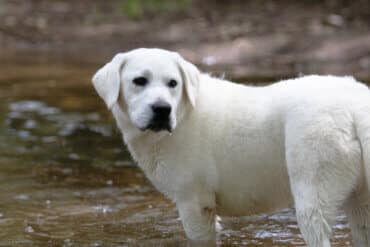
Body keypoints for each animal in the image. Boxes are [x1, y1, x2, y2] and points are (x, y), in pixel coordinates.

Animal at [92, 48, 370, 247]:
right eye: (139, 81)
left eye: (173, 83)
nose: (162, 109)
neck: (184, 113)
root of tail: (354, 105)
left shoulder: (194, 203)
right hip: (361, 203)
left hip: (312, 192)